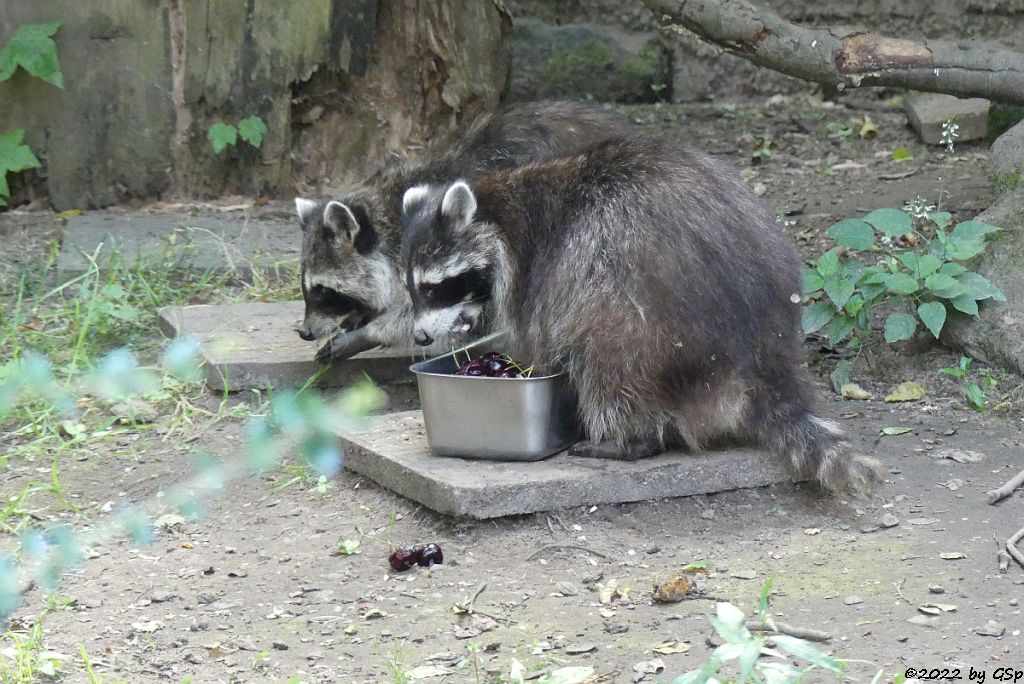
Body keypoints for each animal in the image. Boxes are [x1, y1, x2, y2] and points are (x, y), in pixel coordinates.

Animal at [294, 100, 630, 362]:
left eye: (322, 290)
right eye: (307, 287)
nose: (305, 332)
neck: (386, 216)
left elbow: (421, 314)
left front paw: (371, 332)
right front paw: (359, 318)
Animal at [403, 137, 884, 491]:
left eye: (433, 287)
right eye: (412, 289)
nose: (421, 337)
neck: (497, 211)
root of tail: (763, 352)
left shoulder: (533, 265)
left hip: (645, 311)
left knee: (607, 355)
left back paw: (629, 438)